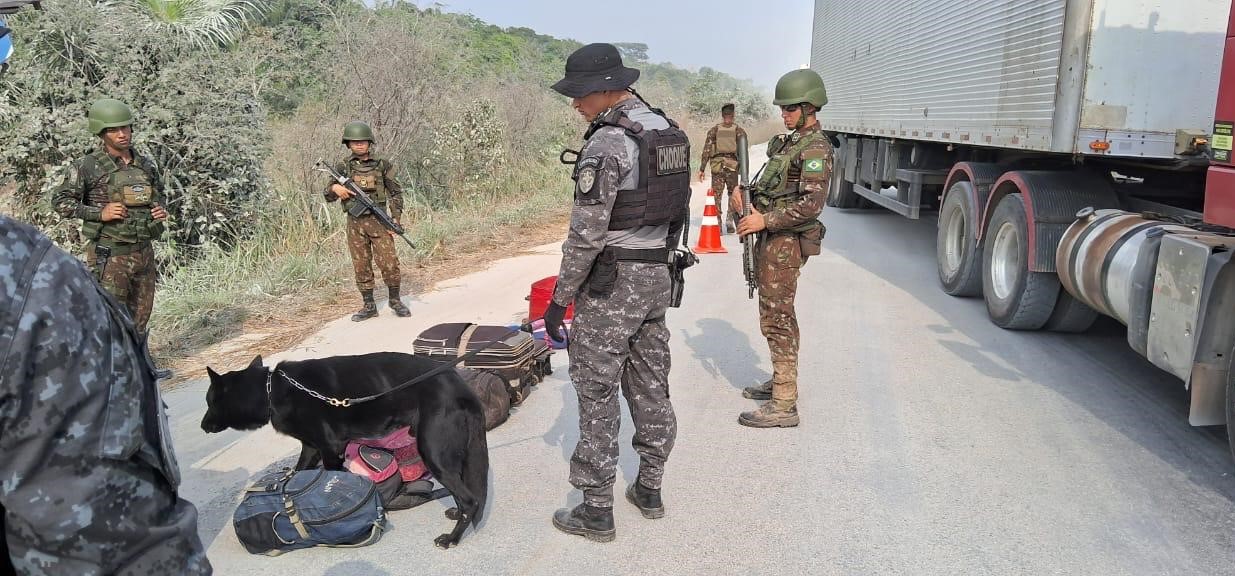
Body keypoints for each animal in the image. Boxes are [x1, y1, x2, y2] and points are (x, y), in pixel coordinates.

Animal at [201, 351, 486, 548]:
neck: (271, 391)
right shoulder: (311, 448)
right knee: (465, 494)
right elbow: (299, 472)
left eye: (209, 401)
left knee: (470, 499)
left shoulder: (331, 449)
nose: (203, 426)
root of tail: (459, 385)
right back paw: (456, 515)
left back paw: (452, 538)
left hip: (432, 452)